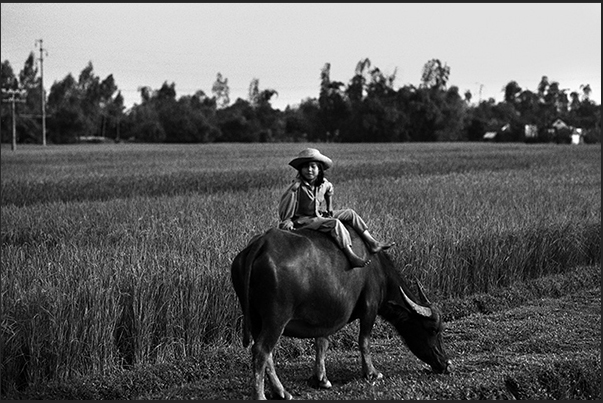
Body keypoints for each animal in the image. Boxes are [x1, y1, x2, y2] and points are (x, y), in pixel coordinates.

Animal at [231, 226, 452, 400]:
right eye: (433, 329)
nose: (446, 363)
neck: (378, 268)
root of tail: (261, 244)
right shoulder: (370, 306)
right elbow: (364, 340)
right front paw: (372, 373)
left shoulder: (326, 315)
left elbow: (322, 342)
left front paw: (321, 379)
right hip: (276, 319)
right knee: (261, 350)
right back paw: (261, 395)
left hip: (257, 319)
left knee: (265, 353)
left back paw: (281, 392)